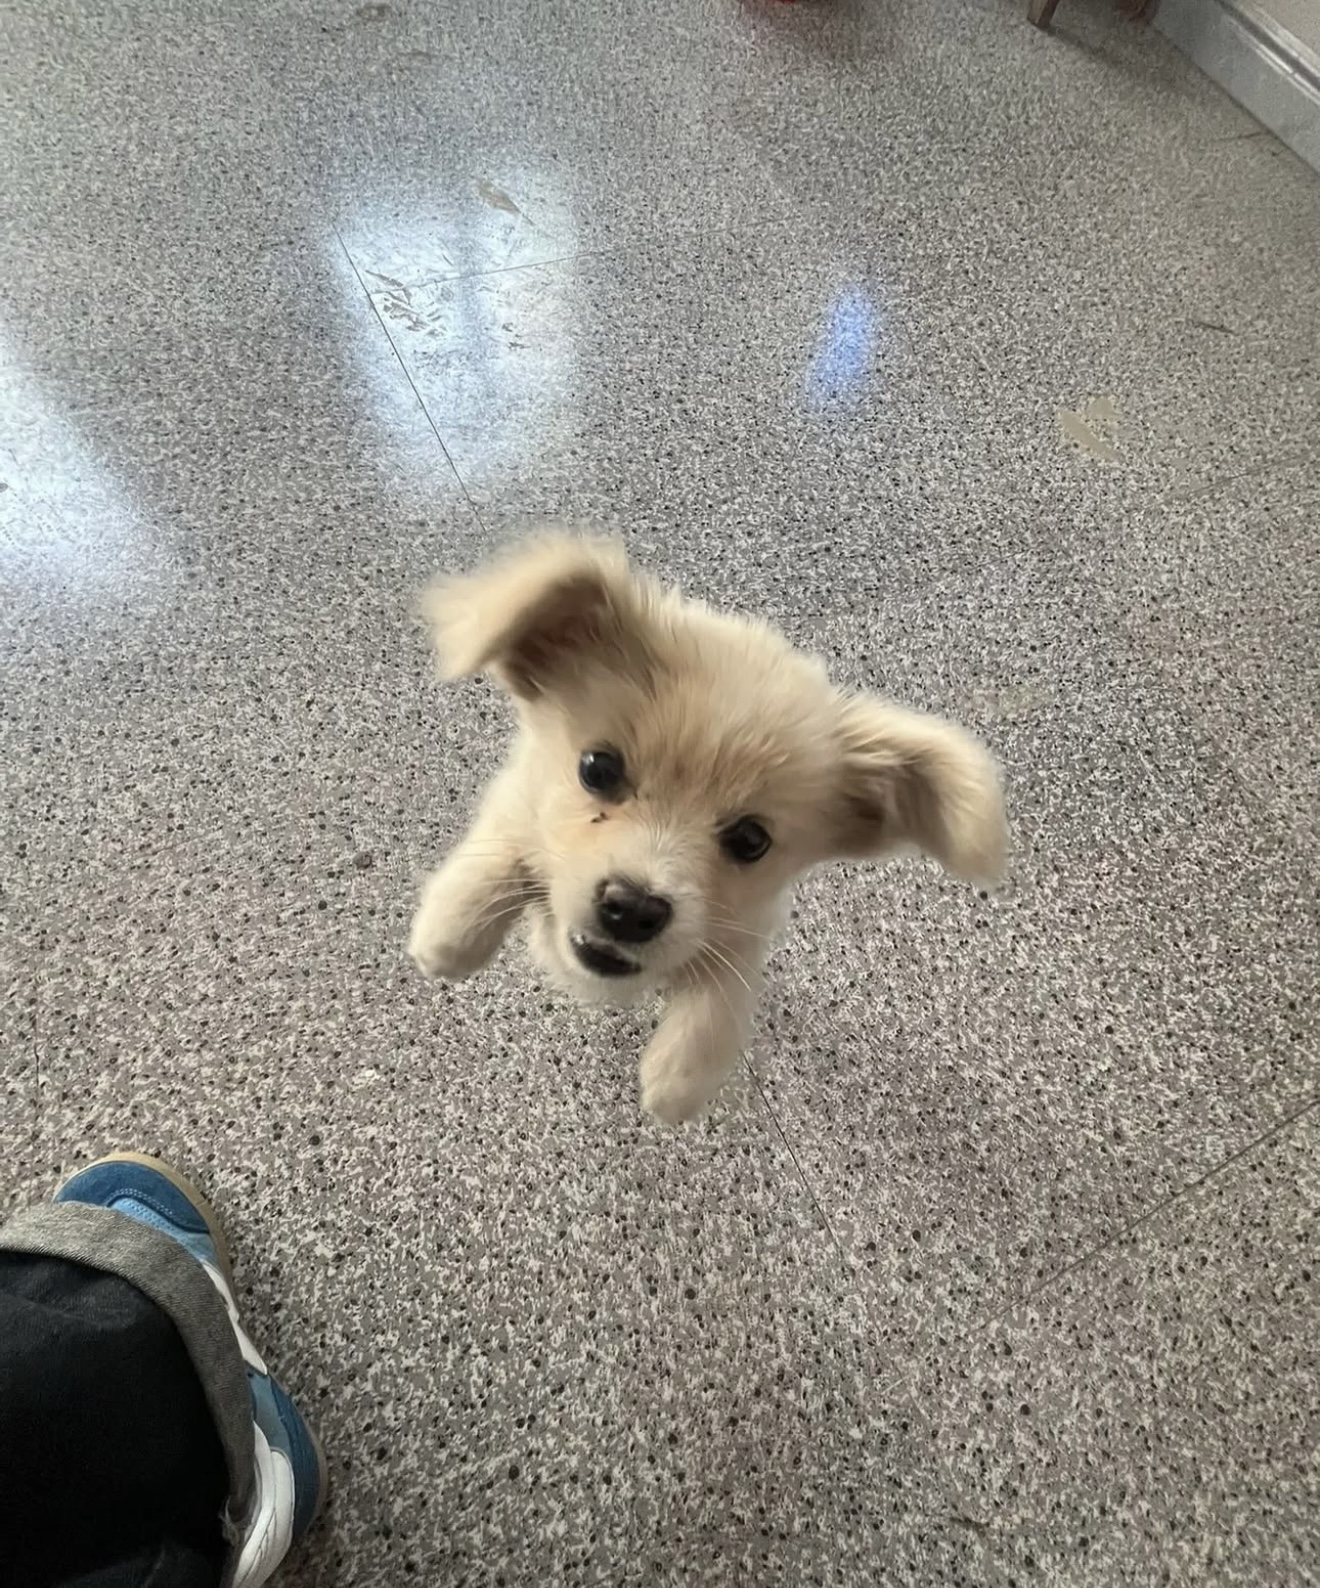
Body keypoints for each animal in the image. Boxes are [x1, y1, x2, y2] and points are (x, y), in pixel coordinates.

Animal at [408, 535, 1006, 1124]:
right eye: (598, 769)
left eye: (751, 840)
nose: (633, 908)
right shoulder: (519, 794)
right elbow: (501, 852)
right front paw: (449, 936)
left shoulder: (747, 926)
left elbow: (722, 998)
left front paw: (678, 1080)